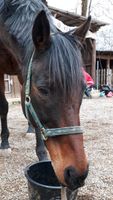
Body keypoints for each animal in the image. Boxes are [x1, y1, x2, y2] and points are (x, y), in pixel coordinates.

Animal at [0, 0, 91, 191]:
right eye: (42, 89)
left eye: (83, 88)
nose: (77, 174)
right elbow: (4, 107)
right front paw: (4, 143)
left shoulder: (24, 68)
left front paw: (41, 153)